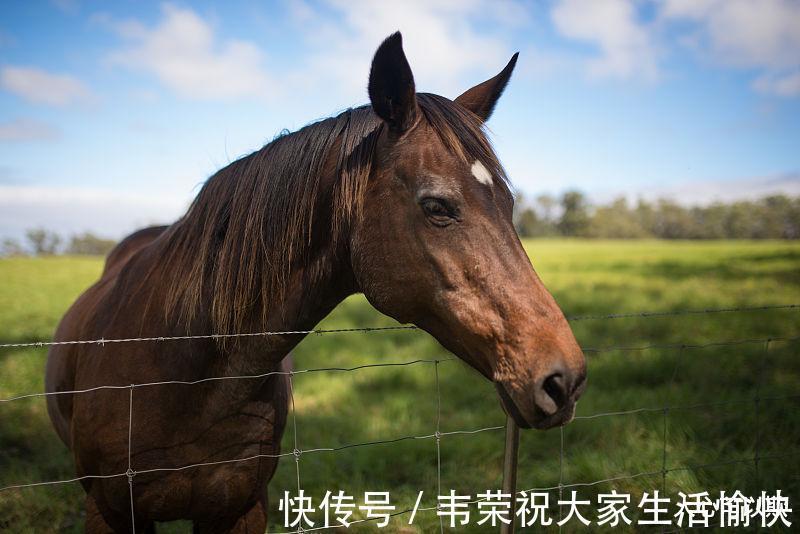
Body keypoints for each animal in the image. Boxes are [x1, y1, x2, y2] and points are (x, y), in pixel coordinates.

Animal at [47, 32, 588, 532]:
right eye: (437, 206)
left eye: (510, 204)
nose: (565, 379)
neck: (184, 368)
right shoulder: (110, 511)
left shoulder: (241, 508)